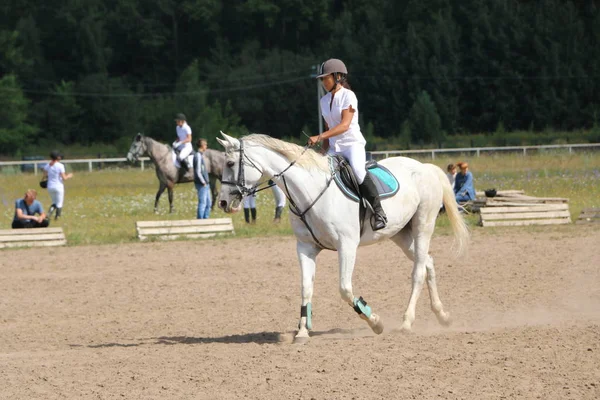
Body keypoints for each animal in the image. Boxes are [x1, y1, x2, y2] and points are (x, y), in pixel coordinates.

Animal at [216, 132, 468, 344]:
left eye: (230, 164)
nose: (223, 203)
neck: (308, 191)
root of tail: (425, 167)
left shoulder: (347, 245)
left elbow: (345, 289)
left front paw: (374, 321)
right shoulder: (305, 247)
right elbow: (306, 287)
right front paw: (302, 332)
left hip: (423, 225)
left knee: (418, 272)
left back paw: (406, 323)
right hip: (400, 234)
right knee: (427, 263)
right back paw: (442, 316)